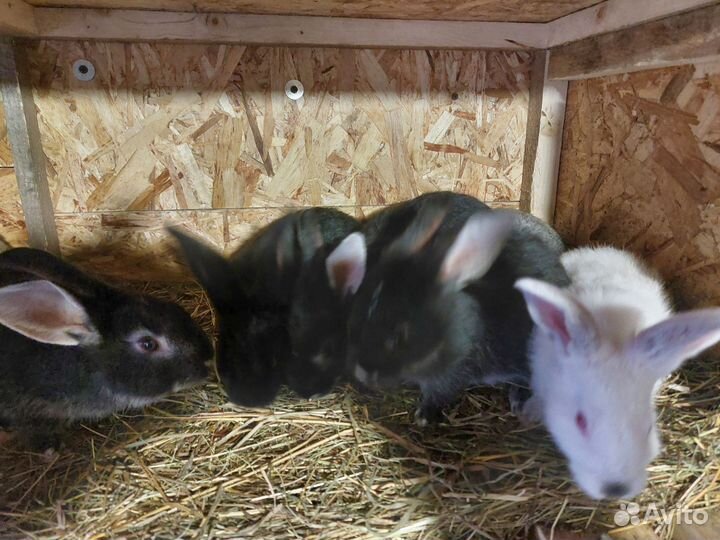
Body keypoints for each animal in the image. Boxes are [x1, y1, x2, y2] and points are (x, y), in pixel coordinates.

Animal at [341, 192, 570, 425]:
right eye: (354, 322)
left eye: (399, 335)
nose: (363, 373)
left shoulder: (452, 372)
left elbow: (439, 393)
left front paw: (423, 417)